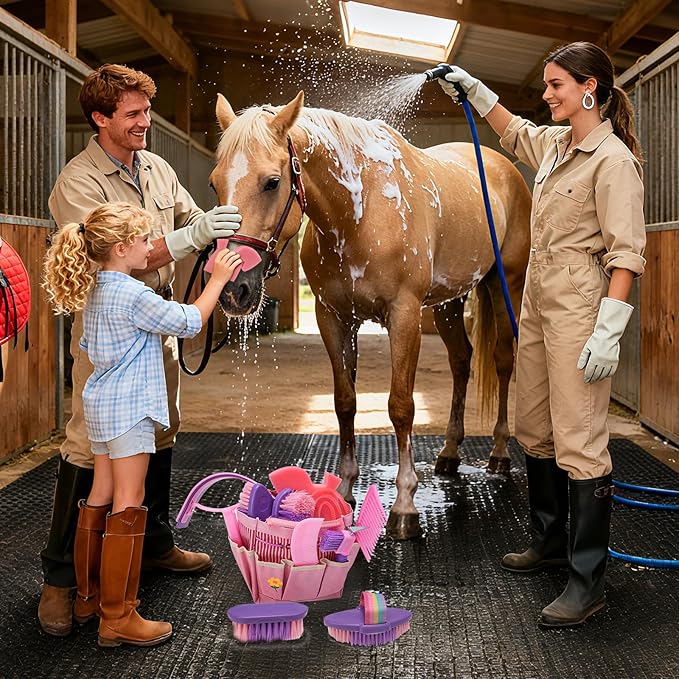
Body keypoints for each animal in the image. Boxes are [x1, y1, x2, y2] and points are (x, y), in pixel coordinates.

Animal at [209, 91, 531, 539]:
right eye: (214, 182)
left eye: (272, 182)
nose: (232, 290)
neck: (358, 212)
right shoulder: (333, 318)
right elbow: (345, 402)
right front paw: (344, 490)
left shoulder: (404, 315)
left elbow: (400, 406)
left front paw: (405, 505)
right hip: (449, 303)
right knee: (461, 360)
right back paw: (449, 453)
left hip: (505, 286)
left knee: (502, 359)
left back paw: (499, 453)